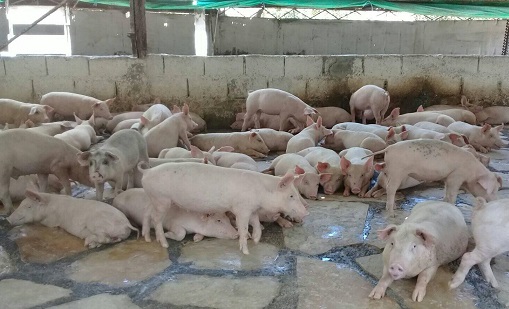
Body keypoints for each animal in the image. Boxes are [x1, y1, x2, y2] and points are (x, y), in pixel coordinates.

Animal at [6, 190, 138, 248]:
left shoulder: (51, 221)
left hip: (97, 223)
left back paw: (88, 243)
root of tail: (126, 224)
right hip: (116, 234)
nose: (7, 219)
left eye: (28, 206)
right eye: (21, 204)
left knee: (103, 237)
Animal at [138, 161, 310, 253]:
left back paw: (147, 238)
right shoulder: (241, 209)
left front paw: (256, 240)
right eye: (291, 196)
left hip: (154, 199)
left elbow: (256, 223)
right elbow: (243, 227)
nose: (306, 212)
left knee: (147, 213)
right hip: (161, 199)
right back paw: (164, 243)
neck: (261, 192)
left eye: (297, 193)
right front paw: (246, 251)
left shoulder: (251, 208)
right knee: (156, 220)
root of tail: (147, 171)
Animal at [368, 140, 502, 214]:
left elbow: (446, 191)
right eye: (493, 190)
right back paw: (392, 212)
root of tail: (388, 149)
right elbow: (452, 194)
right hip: (397, 171)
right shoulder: (456, 176)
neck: (472, 173)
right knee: (391, 189)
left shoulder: (448, 178)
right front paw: (452, 205)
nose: (496, 201)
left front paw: (443, 201)